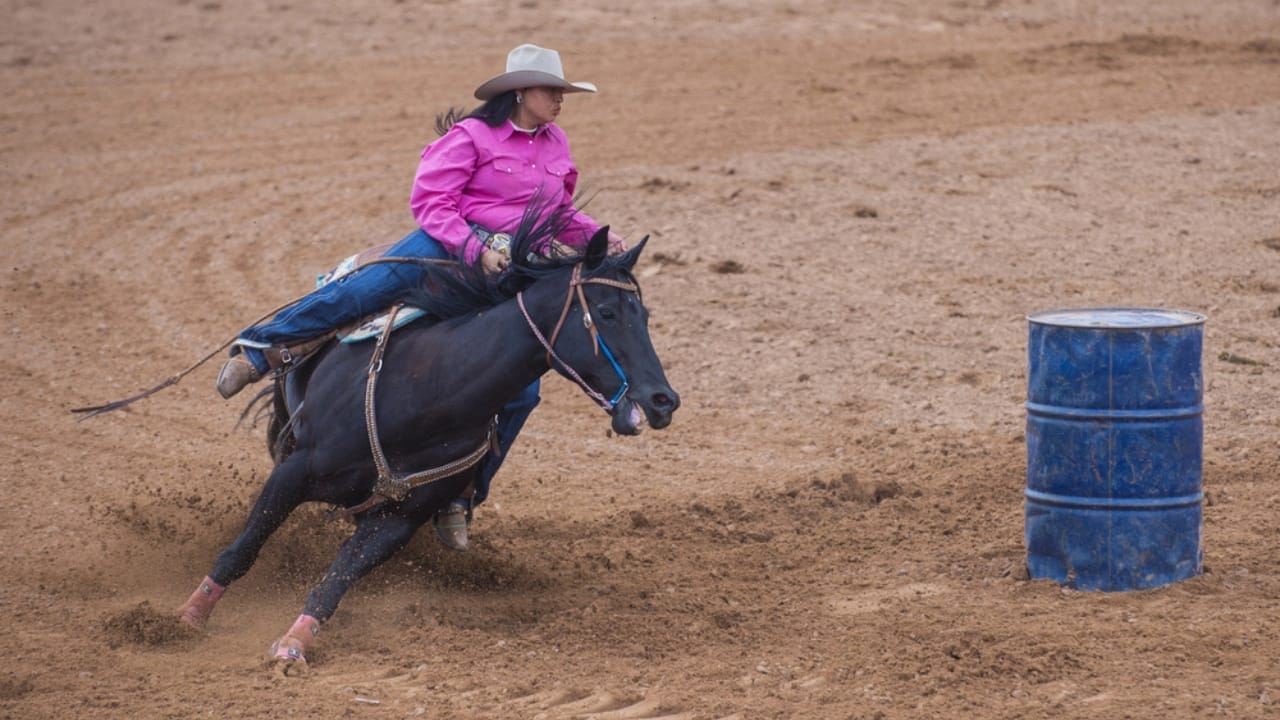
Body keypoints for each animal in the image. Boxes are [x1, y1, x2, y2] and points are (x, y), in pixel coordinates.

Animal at [175, 213, 679, 673]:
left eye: (645, 315)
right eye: (607, 313)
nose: (663, 400)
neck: (429, 391)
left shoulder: (400, 518)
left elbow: (338, 577)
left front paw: (294, 644)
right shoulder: (295, 471)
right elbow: (243, 549)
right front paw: (188, 618)